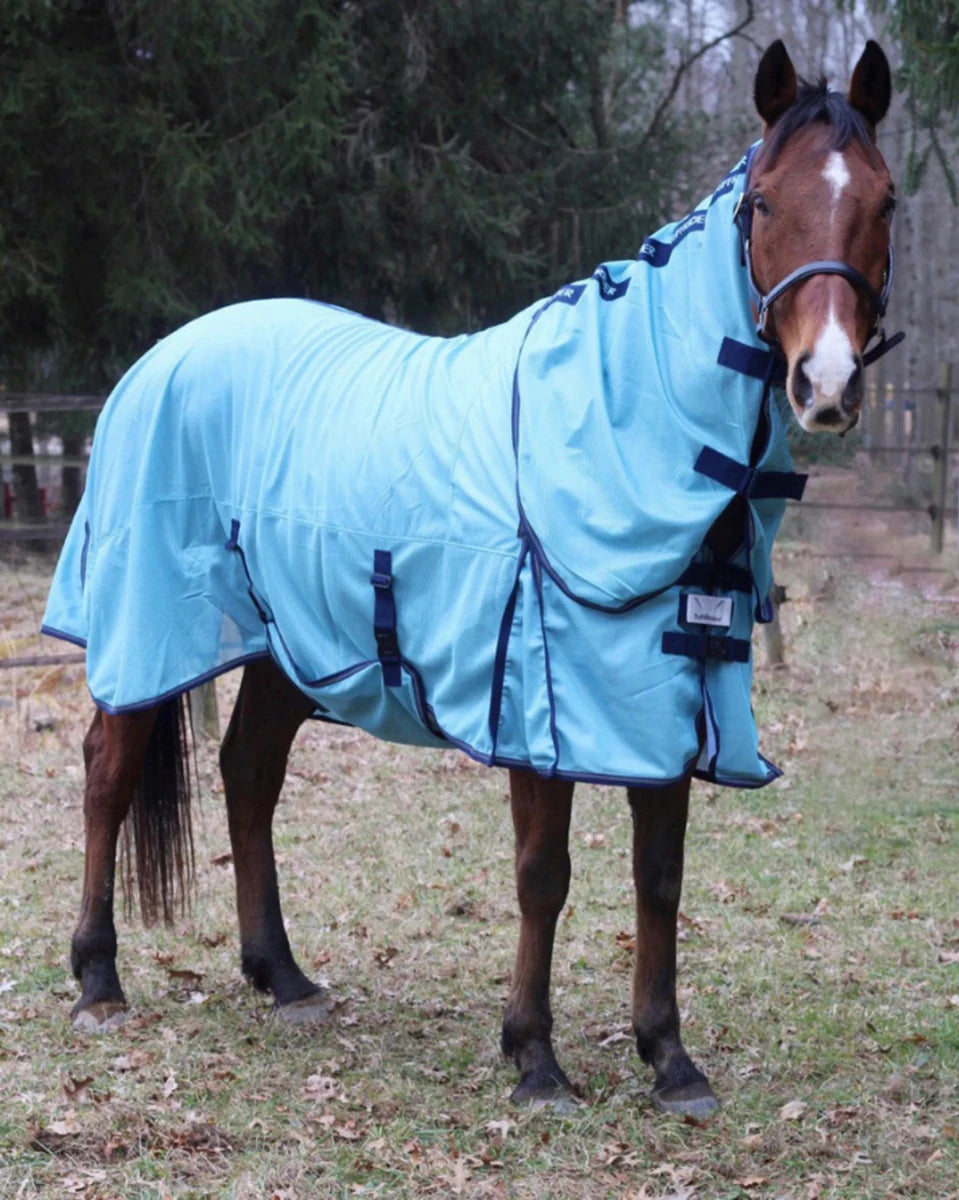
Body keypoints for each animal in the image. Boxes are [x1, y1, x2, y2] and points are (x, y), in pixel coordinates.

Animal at [43, 40, 900, 1116]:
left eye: (884, 200)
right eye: (763, 205)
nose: (824, 384)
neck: (621, 423)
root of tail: (159, 356)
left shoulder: (668, 694)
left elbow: (659, 876)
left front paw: (668, 1059)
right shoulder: (540, 699)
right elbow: (543, 874)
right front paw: (534, 1058)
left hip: (290, 642)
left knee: (249, 773)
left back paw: (282, 977)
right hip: (145, 622)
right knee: (106, 773)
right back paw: (98, 982)